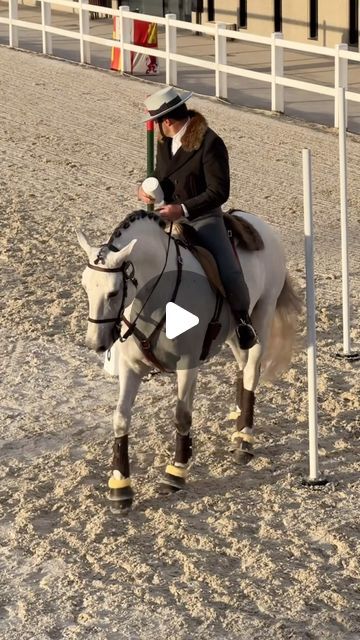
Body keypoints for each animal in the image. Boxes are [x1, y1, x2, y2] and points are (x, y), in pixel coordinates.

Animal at [78, 210, 300, 510]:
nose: (95, 343)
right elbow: (121, 418)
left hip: (261, 317)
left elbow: (182, 417)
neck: (158, 296)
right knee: (242, 368)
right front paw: (120, 487)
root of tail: (256, 222)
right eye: (85, 286)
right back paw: (238, 418)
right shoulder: (130, 369)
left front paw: (175, 474)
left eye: (113, 292)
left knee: (252, 370)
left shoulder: (187, 365)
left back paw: (244, 439)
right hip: (233, 334)